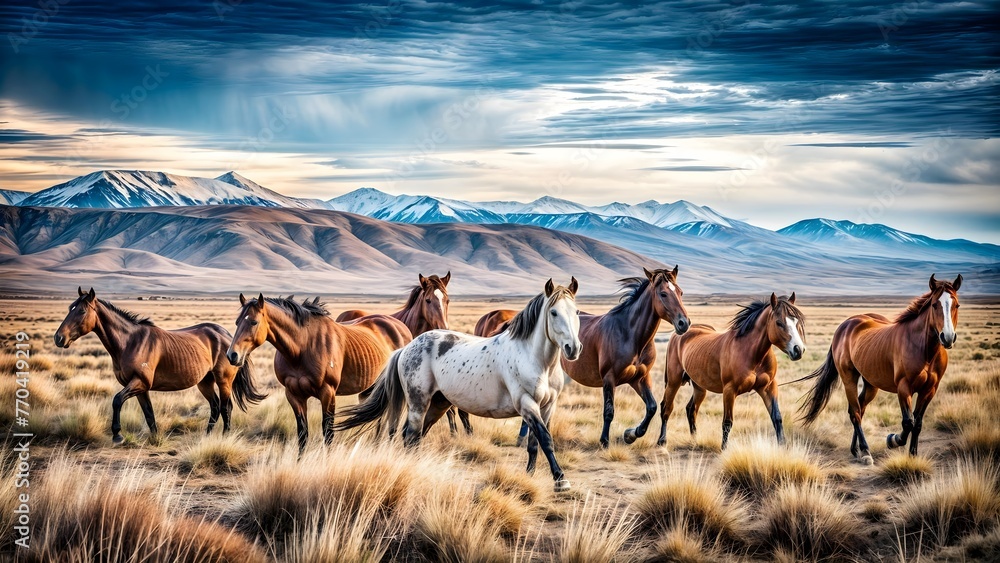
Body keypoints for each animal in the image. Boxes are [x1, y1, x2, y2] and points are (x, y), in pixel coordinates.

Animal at [53, 287, 266, 444]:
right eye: (69, 308)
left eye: (81, 310)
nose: (58, 338)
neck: (130, 342)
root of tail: (227, 337)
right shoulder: (140, 388)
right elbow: (149, 414)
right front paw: (155, 439)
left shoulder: (139, 383)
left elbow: (116, 400)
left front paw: (117, 435)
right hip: (204, 381)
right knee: (214, 407)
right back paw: (206, 437)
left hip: (223, 380)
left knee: (225, 408)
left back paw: (224, 437)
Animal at [226, 294, 412, 452]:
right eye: (237, 322)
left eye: (254, 322)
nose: (232, 355)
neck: (302, 348)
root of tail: (401, 326)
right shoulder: (294, 395)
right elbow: (303, 434)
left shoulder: (327, 393)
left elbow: (328, 433)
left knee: (392, 421)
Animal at [561, 267, 690, 448]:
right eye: (663, 294)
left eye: (680, 292)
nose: (684, 323)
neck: (630, 335)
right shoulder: (609, 379)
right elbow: (609, 411)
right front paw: (604, 441)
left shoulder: (640, 378)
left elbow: (652, 407)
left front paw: (631, 434)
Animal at [659, 293, 806, 450]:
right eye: (779, 323)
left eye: (796, 322)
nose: (798, 350)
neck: (752, 354)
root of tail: (678, 333)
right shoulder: (730, 390)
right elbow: (727, 422)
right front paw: (724, 449)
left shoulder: (768, 387)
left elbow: (777, 417)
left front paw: (782, 446)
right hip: (673, 382)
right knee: (666, 408)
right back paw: (662, 441)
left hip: (699, 387)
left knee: (691, 409)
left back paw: (694, 440)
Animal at [800, 274, 962, 463]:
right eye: (935, 304)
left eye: (957, 305)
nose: (948, 337)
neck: (924, 349)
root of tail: (846, 324)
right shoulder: (904, 387)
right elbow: (908, 422)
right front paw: (893, 440)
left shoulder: (929, 390)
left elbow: (918, 423)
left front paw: (913, 455)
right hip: (849, 379)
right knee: (855, 413)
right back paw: (865, 451)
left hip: (871, 384)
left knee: (860, 409)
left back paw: (856, 450)